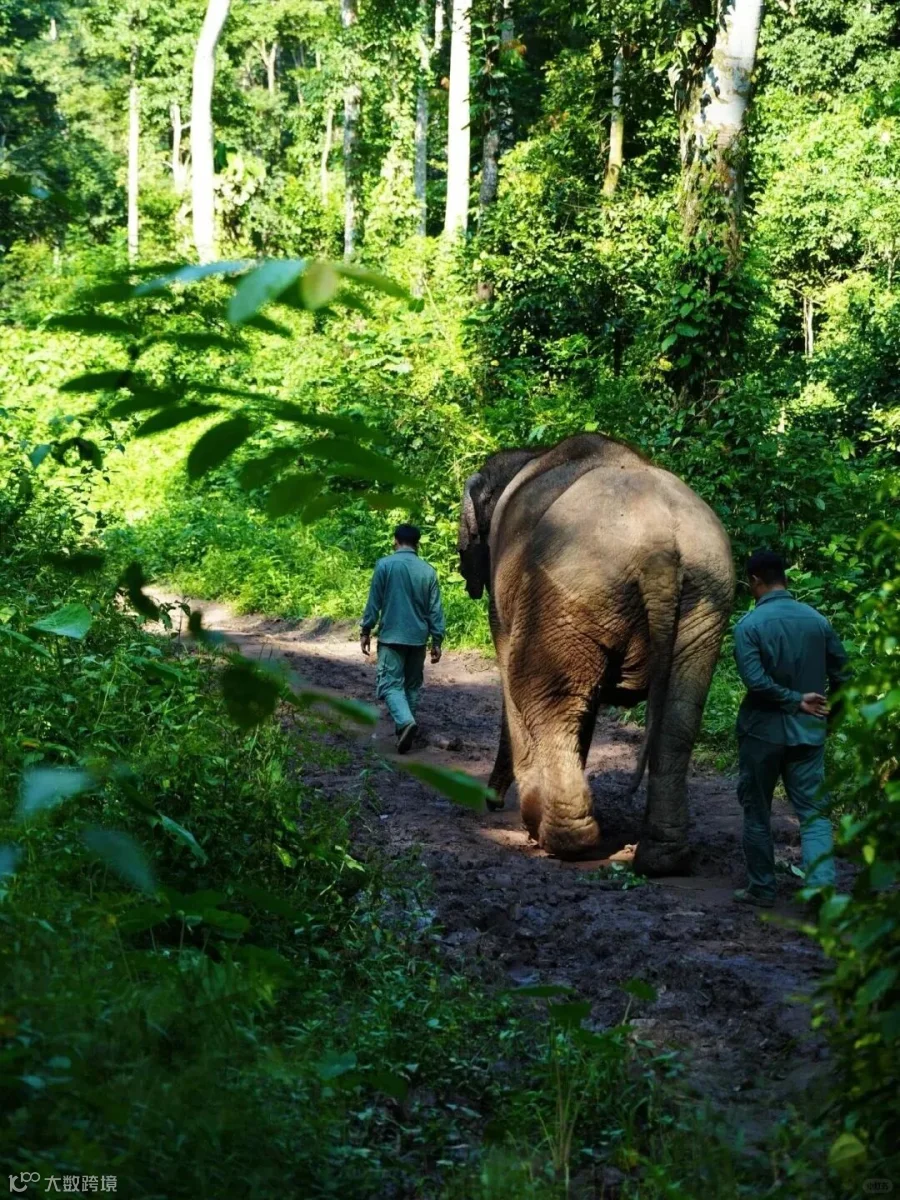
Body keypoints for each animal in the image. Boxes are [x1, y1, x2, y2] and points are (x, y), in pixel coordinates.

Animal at [458, 433, 735, 875]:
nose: (490, 803)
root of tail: (659, 548)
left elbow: (510, 678)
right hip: (705, 596)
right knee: (679, 716)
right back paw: (662, 859)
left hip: (571, 591)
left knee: (543, 693)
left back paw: (558, 840)